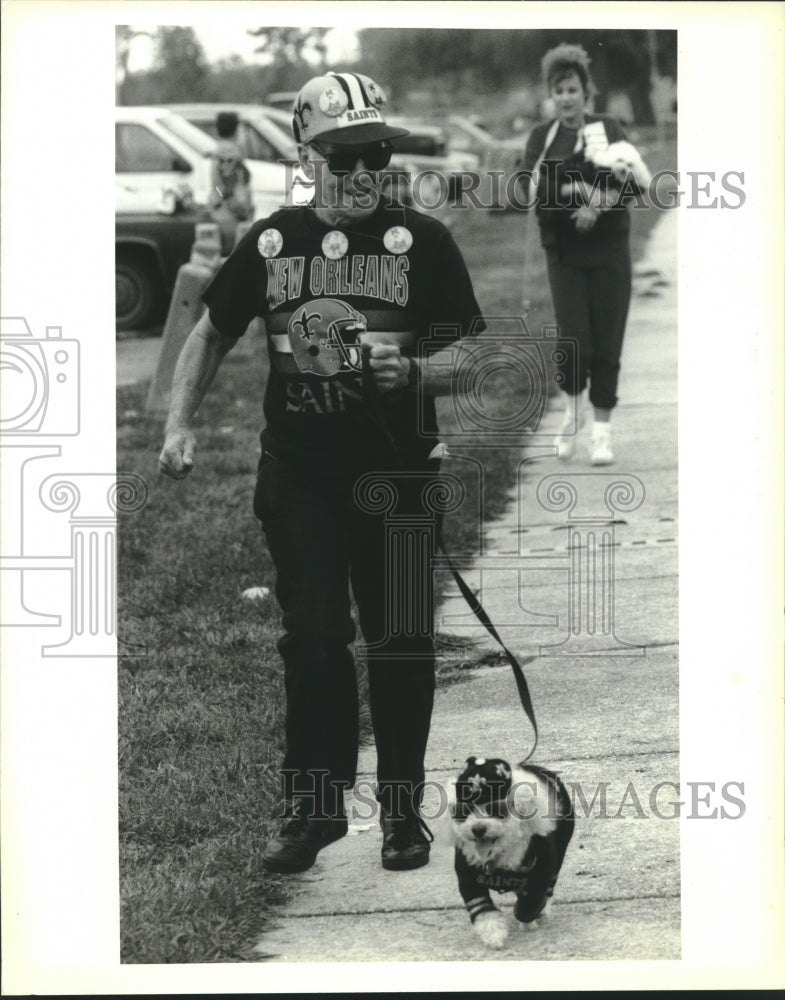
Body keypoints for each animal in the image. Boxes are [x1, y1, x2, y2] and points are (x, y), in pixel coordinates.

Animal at [448, 760, 576, 948]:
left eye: (495, 808)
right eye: (465, 810)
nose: (478, 829)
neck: (498, 856)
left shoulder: (541, 873)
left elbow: (529, 904)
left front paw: (528, 920)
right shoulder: (469, 880)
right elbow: (484, 912)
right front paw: (493, 934)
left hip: (560, 849)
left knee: (550, 886)